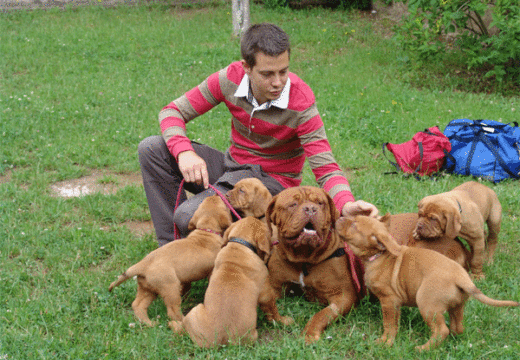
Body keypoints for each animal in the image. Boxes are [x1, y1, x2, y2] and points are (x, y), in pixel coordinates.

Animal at [107, 195, 232, 328]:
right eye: (221, 203)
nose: (215, 195)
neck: (206, 231)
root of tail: (143, 264)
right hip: (170, 288)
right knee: (172, 311)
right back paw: (182, 321)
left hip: (147, 289)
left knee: (138, 305)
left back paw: (150, 323)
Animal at [264, 186, 362, 344]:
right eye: (293, 204)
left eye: (320, 203)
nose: (310, 208)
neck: (303, 258)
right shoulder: (275, 287)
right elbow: (270, 306)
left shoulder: (343, 295)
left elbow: (322, 314)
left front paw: (309, 334)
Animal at [336, 215, 516, 350]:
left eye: (354, 224)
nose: (339, 217)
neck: (380, 255)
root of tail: (461, 278)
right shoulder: (395, 304)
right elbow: (395, 323)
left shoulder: (388, 301)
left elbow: (389, 324)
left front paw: (385, 342)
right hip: (457, 306)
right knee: (457, 327)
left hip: (427, 304)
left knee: (441, 330)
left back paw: (423, 349)